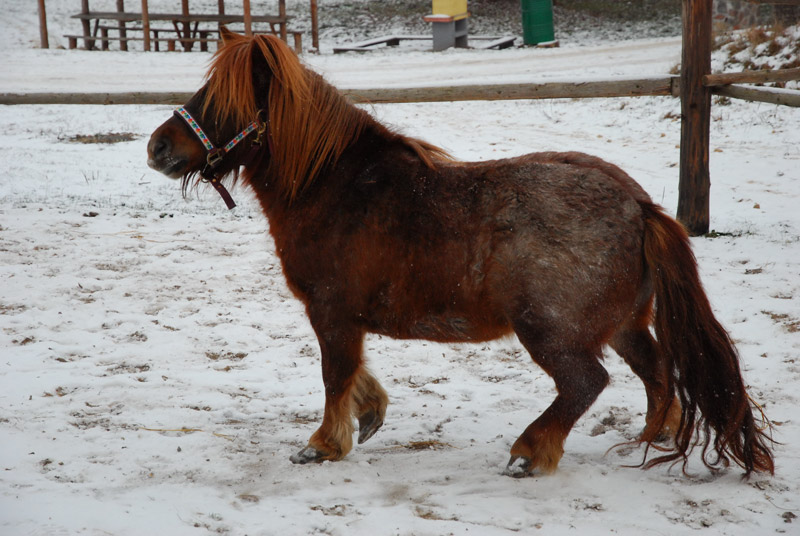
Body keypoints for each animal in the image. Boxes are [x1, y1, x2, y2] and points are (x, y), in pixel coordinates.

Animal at [147, 29, 772, 478]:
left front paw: (323, 444)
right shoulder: (345, 318)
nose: (157, 147)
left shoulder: (330, 313)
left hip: (550, 330)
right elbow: (354, 375)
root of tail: (638, 205)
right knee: (658, 370)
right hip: (622, 324)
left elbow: (334, 375)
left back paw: (530, 453)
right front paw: (367, 416)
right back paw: (653, 435)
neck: (336, 187)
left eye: (222, 99)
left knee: (584, 383)